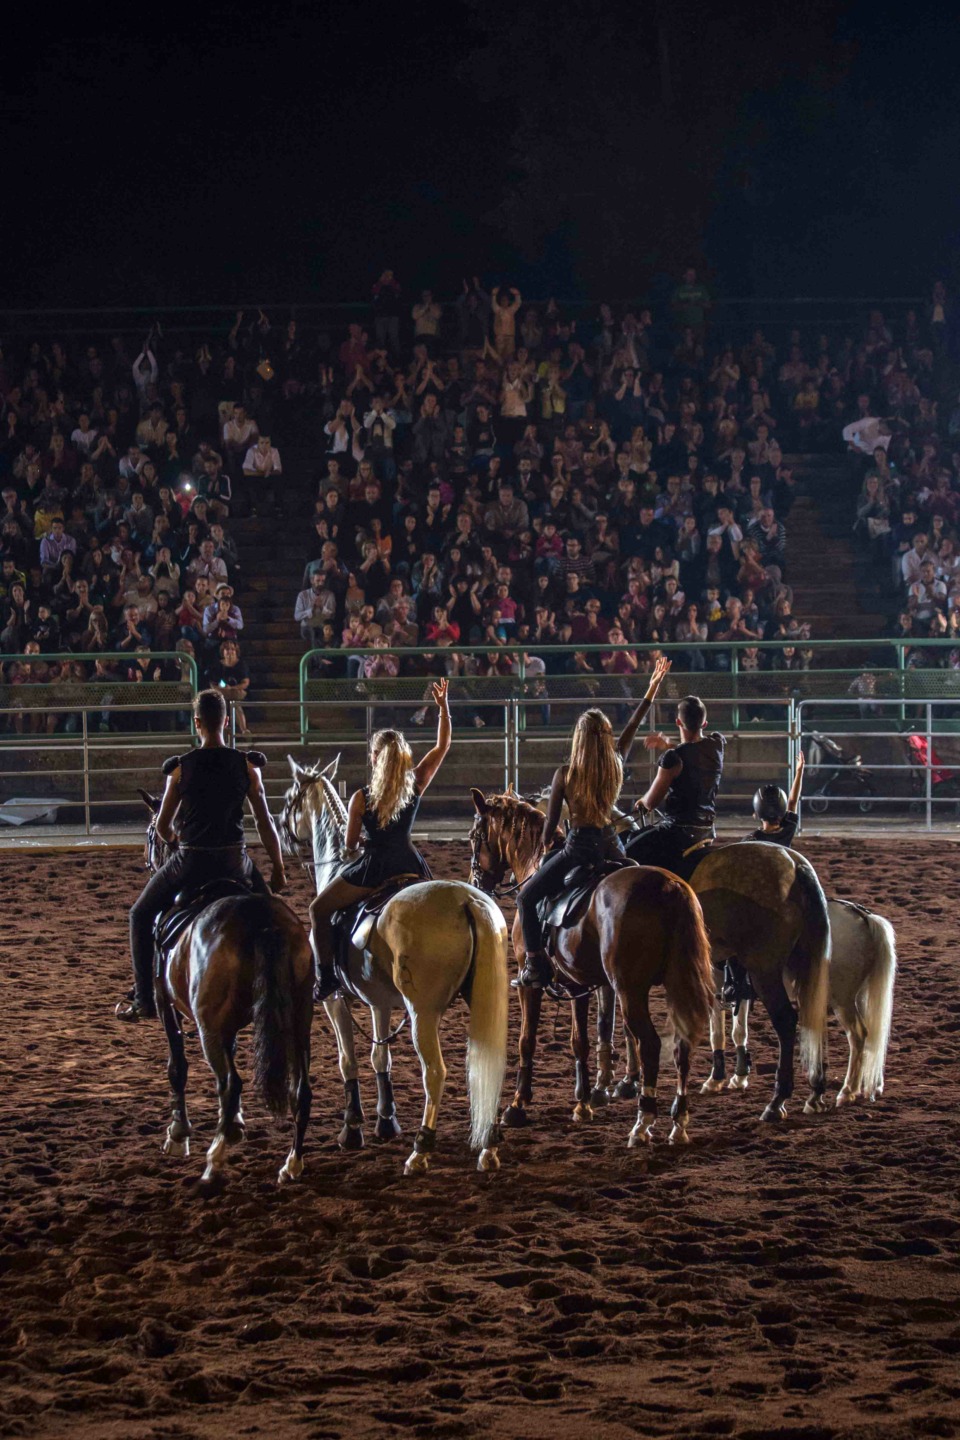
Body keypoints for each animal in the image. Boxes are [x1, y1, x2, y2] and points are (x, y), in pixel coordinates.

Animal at [138, 794, 313, 1186]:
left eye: (152, 833)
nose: (147, 858)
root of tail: (261, 921)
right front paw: (236, 1120)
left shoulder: (166, 1006)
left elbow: (177, 1067)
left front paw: (178, 1135)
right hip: (298, 1021)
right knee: (301, 1090)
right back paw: (291, 1163)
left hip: (208, 1028)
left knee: (230, 1083)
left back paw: (215, 1158)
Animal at [277, 760, 509, 1175]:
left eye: (291, 800)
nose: (282, 832)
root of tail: (467, 901)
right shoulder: (379, 1002)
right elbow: (379, 1057)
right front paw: (386, 1120)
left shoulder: (335, 1000)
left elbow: (348, 1061)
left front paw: (352, 1129)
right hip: (481, 1000)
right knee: (491, 1066)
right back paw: (488, 1146)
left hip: (422, 1015)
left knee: (435, 1073)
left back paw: (421, 1149)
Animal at [469, 789, 716, 1146]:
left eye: (474, 836)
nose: (476, 881)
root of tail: (669, 887)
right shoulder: (578, 985)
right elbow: (580, 1041)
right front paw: (583, 1103)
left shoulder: (530, 985)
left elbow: (526, 1040)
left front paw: (517, 1106)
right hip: (675, 983)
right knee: (681, 1044)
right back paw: (678, 1121)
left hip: (630, 991)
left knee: (651, 1044)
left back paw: (643, 1121)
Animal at [699, 898, 903, 1111]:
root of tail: (863, 916)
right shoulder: (739, 993)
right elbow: (738, 1033)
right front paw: (739, 1077)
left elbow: (717, 1035)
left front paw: (715, 1080)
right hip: (859, 996)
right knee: (872, 1035)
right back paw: (871, 1086)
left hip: (842, 1001)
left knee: (858, 1035)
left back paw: (847, 1092)